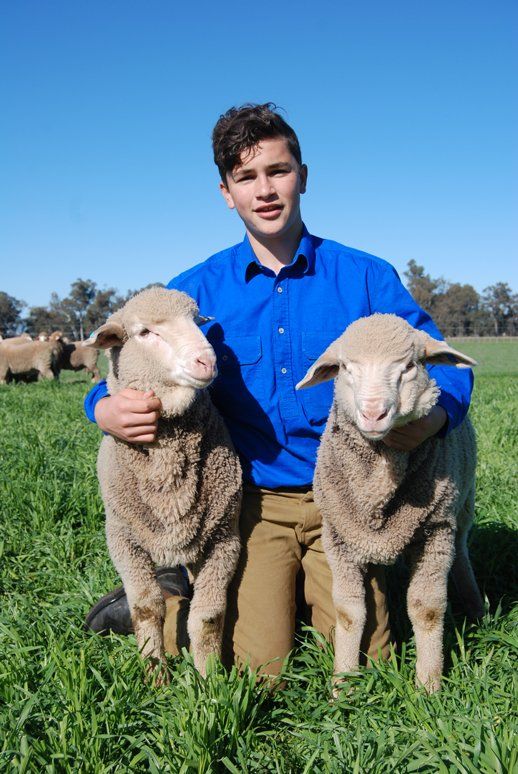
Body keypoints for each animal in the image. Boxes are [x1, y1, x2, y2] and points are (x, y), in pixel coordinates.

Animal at [84, 286, 242, 681]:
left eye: (196, 320)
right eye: (144, 332)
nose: (207, 361)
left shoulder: (224, 539)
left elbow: (208, 616)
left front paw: (210, 679)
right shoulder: (122, 539)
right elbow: (147, 608)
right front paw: (155, 675)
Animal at [296, 313, 483, 693]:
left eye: (410, 366)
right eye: (346, 368)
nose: (373, 413)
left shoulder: (434, 532)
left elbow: (426, 609)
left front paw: (428, 686)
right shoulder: (339, 538)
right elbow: (348, 613)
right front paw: (343, 684)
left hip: (461, 508)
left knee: (461, 553)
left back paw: (474, 606)